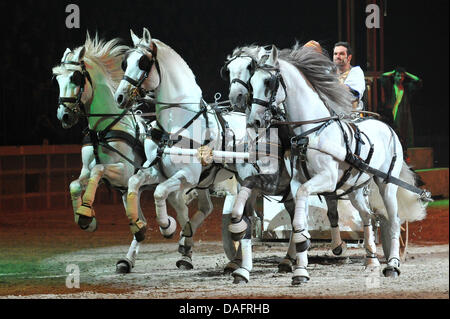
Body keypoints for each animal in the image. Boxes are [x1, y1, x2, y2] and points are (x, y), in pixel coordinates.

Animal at [244, 45, 428, 284]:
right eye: (251, 81)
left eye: (269, 81)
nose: (254, 121)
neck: (311, 132)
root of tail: (387, 127)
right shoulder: (297, 182)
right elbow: (298, 221)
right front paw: (300, 269)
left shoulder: (326, 179)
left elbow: (303, 203)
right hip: (355, 188)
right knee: (368, 216)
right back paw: (371, 260)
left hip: (386, 183)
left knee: (393, 220)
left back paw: (393, 265)